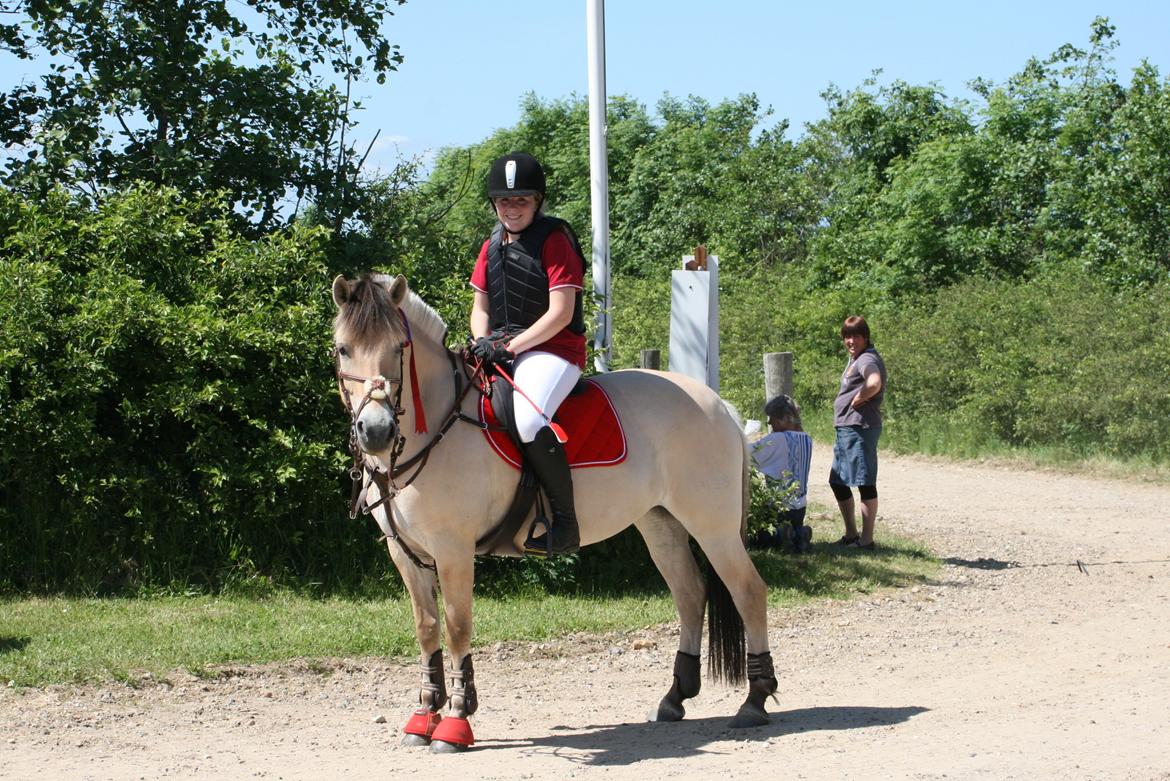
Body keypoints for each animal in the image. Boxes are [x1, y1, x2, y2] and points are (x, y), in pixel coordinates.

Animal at [329, 273, 776, 748]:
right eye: (343, 349)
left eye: (399, 347)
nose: (375, 431)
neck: (435, 425)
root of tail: (717, 403)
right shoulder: (405, 553)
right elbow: (427, 628)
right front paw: (424, 715)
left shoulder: (454, 551)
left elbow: (457, 626)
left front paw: (456, 719)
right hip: (660, 524)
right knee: (690, 594)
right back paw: (675, 698)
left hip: (713, 527)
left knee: (748, 592)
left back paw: (755, 700)